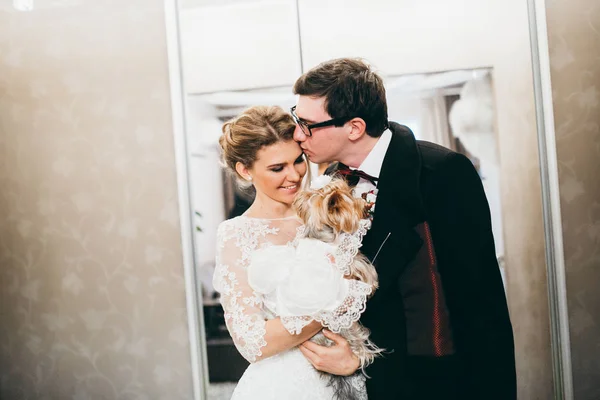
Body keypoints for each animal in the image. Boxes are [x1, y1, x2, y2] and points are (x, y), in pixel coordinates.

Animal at [292, 178, 382, 400]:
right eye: (353, 200)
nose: (365, 204)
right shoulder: (348, 260)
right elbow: (364, 267)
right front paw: (372, 283)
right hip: (349, 329)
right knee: (361, 346)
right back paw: (366, 353)